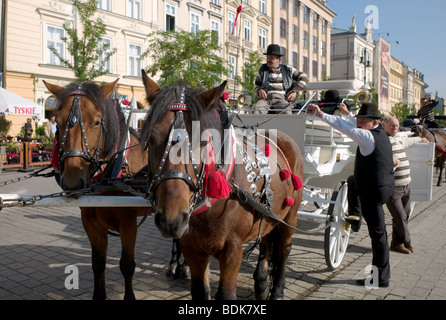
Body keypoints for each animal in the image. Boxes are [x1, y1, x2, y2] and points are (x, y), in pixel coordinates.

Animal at [43, 80, 150, 300]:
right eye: (58, 121)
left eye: (97, 122)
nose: (72, 182)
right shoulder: (91, 223)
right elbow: (98, 264)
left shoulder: (129, 224)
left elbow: (127, 265)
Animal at [141, 72, 304, 300]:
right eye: (151, 139)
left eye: (202, 142)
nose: (171, 219)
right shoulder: (193, 248)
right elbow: (200, 291)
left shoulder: (232, 250)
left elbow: (226, 293)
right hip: (268, 212)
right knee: (265, 239)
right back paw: (261, 282)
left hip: (290, 216)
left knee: (284, 249)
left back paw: (277, 290)